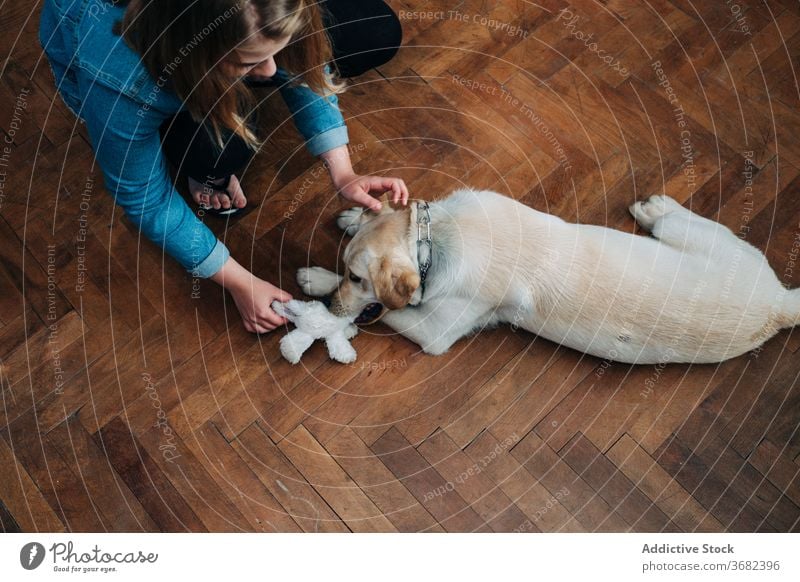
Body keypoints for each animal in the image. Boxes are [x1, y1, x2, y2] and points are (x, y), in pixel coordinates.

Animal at [296, 190, 800, 364]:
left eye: (358, 278)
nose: (334, 305)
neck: (435, 242)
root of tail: (781, 304)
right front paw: (356, 214)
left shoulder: (435, 330)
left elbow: (382, 313)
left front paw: (322, 293)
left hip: (707, 241)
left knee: (675, 220)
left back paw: (657, 208)